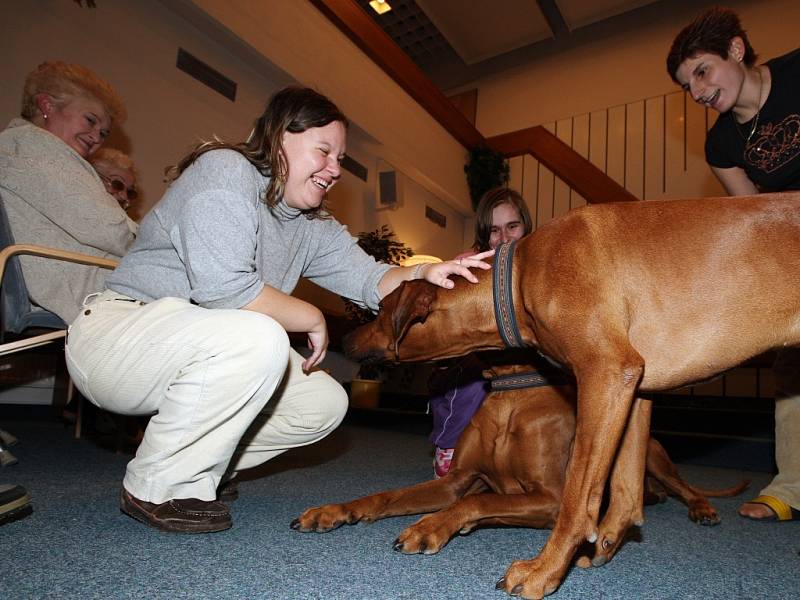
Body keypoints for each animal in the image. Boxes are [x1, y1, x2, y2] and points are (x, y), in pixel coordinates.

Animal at [290, 356, 748, 552]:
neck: (511, 393)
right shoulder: (455, 481)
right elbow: (387, 497)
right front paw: (336, 511)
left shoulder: (551, 499)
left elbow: (477, 501)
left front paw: (432, 526)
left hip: (653, 455)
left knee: (686, 487)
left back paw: (703, 509)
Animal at [340, 195, 800, 596]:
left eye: (378, 312)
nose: (346, 338)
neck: (519, 273)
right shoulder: (635, 390)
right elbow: (625, 496)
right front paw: (606, 544)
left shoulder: (606, 373)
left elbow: (576, 499)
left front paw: (543, 571)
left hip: (660, 457)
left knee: (687, 487)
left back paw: (701, 508)